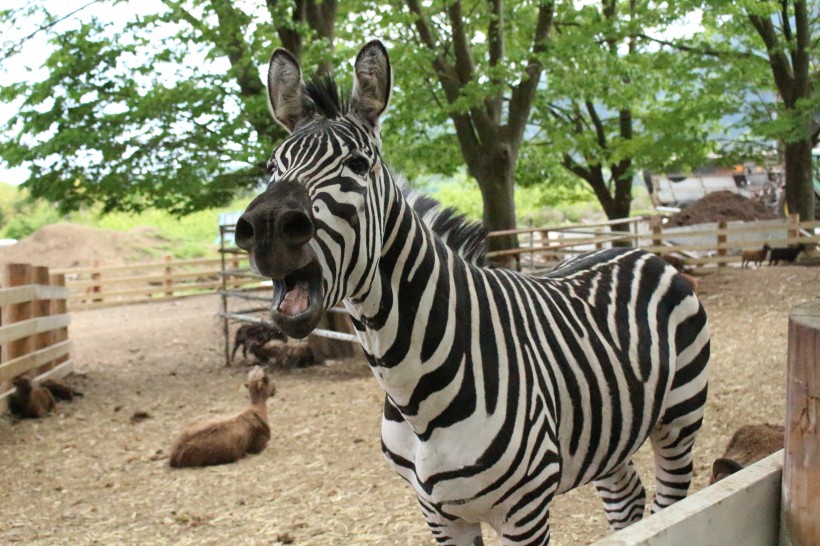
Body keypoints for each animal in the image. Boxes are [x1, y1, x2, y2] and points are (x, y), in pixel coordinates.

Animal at [234, 40, 708, 540]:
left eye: (358, 164)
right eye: (272, 166)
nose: (265, 226)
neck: (414, 397)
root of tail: (633, 250)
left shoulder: (525, 510)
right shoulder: (438, 512)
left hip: (679, 420)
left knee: (670, 501)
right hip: (609, 434)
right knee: (627, 500)